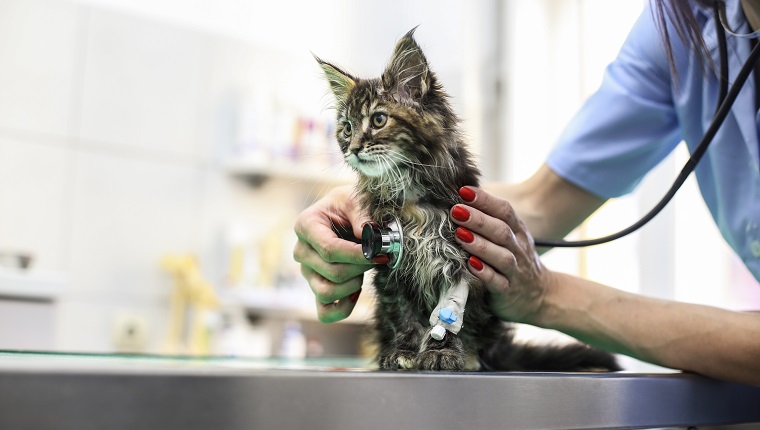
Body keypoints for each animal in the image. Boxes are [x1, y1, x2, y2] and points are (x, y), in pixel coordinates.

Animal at [314, 28, 616, 372]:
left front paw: (441, 352)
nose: (351, 148)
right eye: (346, 128)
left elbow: (447, 318)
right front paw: (403, 351)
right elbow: (403, 316)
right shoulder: (391, 269)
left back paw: (472, 357)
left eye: (378, 120)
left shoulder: (460, 262)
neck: (409, 193)